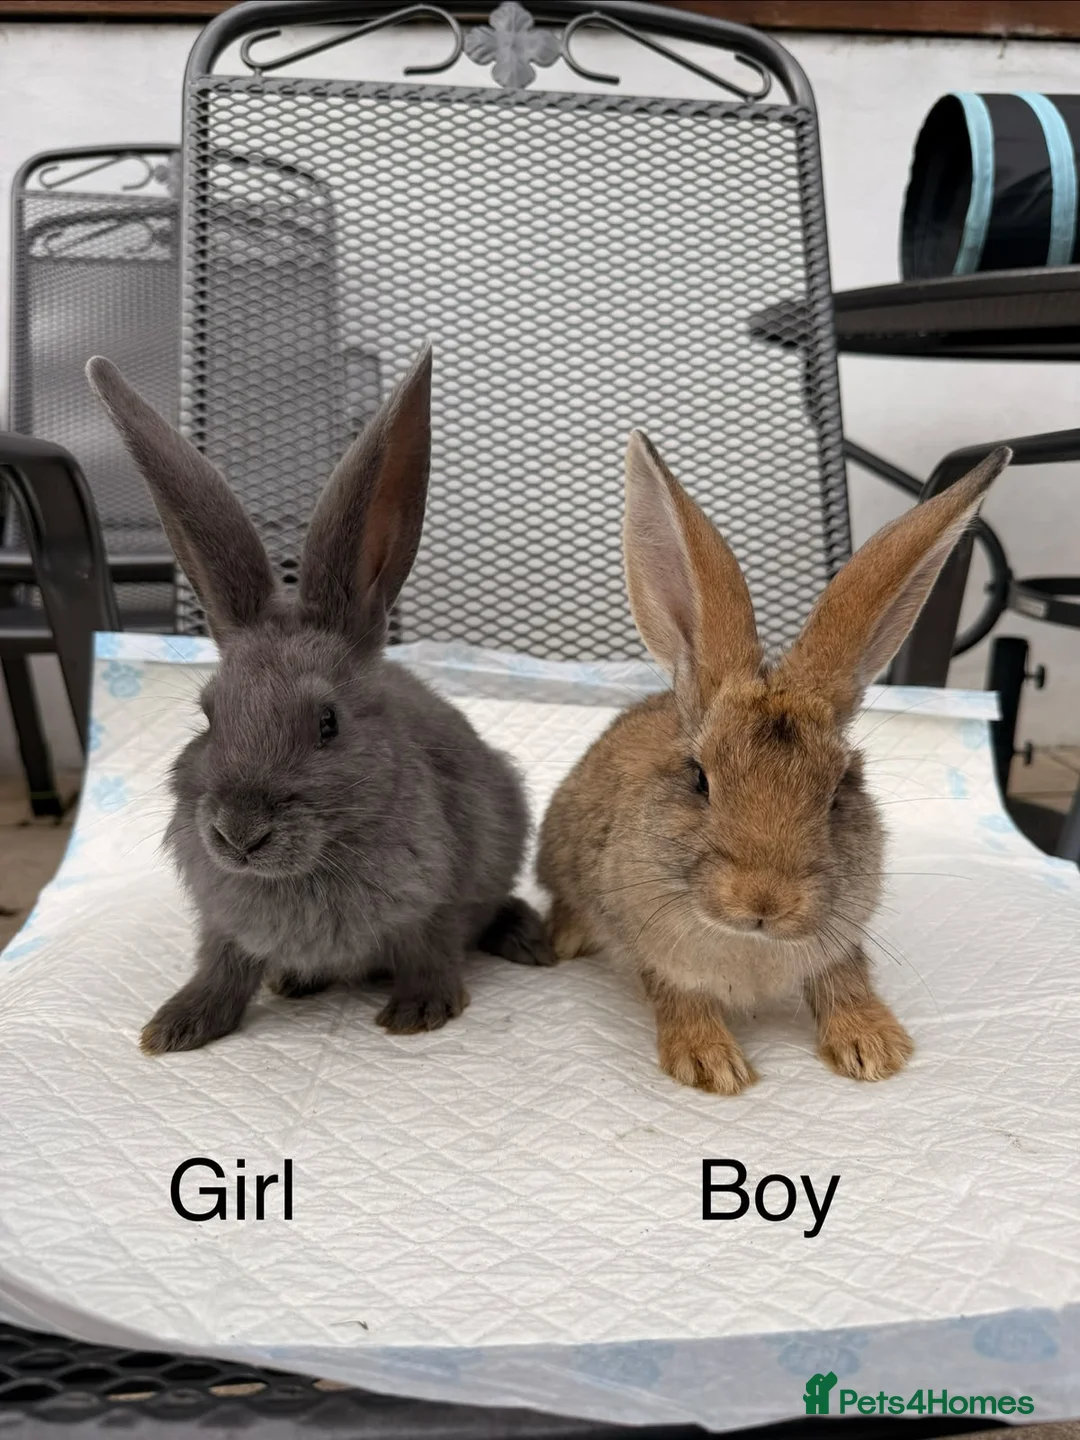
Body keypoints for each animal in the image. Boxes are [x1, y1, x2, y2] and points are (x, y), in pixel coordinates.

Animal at [86, 345, 552, 1056]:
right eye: (208, 716)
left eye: (328, 724)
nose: (238, 833)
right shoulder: (223, 927)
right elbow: (220, 968)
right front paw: (176, 1027)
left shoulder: (435, 904)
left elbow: (432, 949)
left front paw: (420, 1011)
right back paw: (295, 982)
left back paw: (529, 939)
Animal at [537, 429, 1012, 1096]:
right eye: (699, 779)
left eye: (839, 792)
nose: (764, 901)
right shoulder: (658, 956)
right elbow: (680, 999)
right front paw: (711, 1065)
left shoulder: (840, 942)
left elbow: (845, 981)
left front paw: (876, 1048)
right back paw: (565, 941)